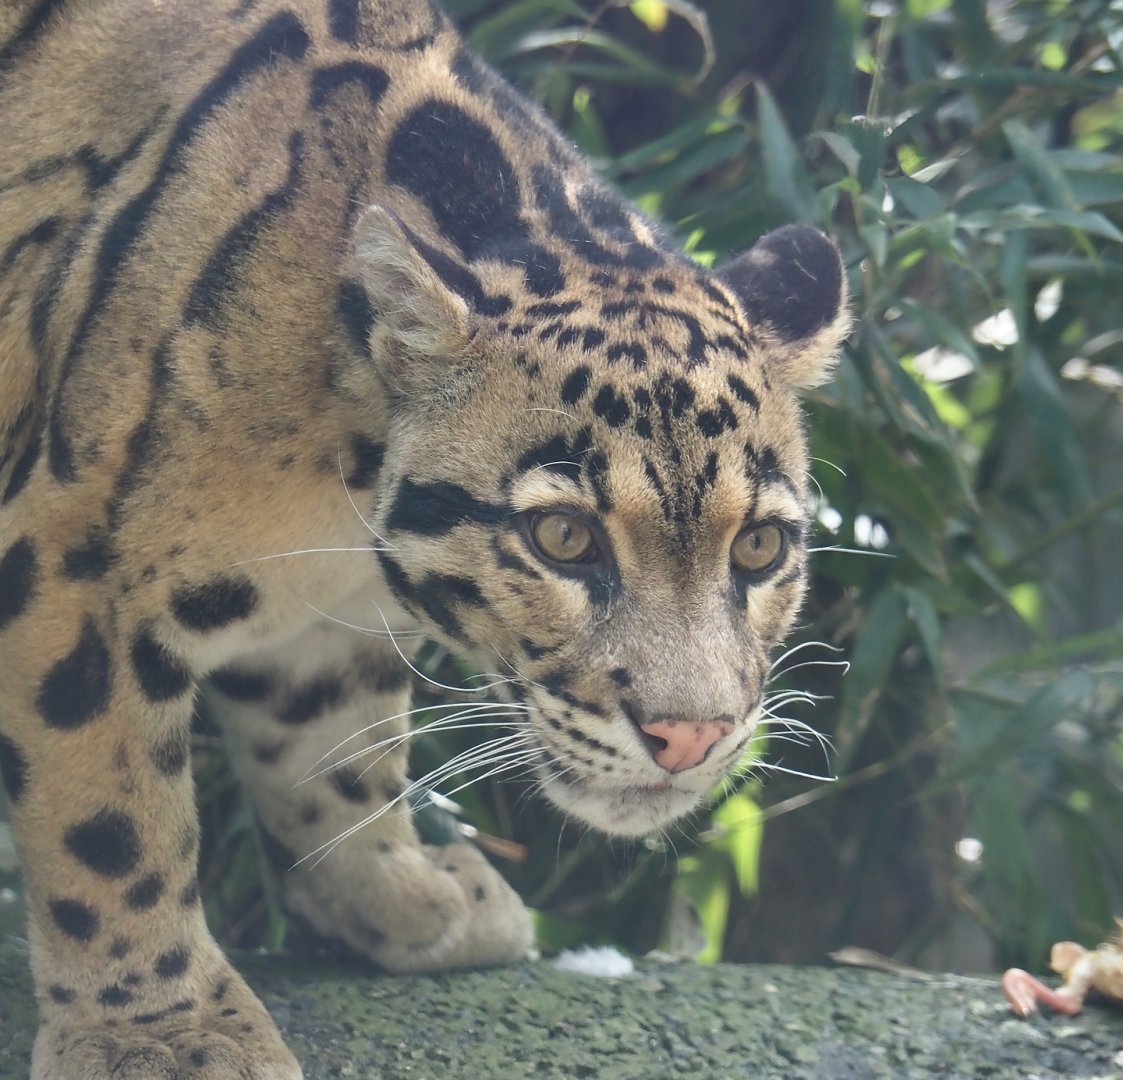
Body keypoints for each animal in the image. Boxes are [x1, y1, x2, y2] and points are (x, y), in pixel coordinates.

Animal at [0, 0, 849, 1075]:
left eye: (758, 551)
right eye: (563, 537)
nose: (689, 737)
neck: (337, 476)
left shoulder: (322, 621)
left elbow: (332, 754)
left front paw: (402, 896)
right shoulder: (71, 562)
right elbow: (110, 821)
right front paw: (163, 1032)